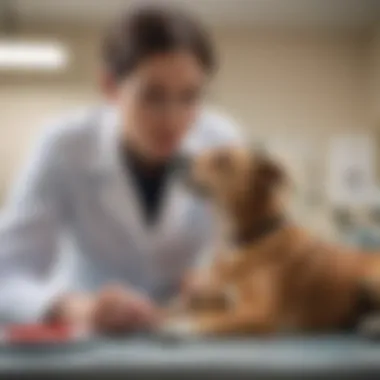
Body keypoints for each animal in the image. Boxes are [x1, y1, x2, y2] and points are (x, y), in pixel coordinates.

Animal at [157, 147, 380, 336]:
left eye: (223, 159)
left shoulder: (259, 312)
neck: (249, 238)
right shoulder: (218, 296)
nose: (178, 158)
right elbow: (189, 304)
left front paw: (179, 324)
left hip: (370, 278)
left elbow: (212, 318)